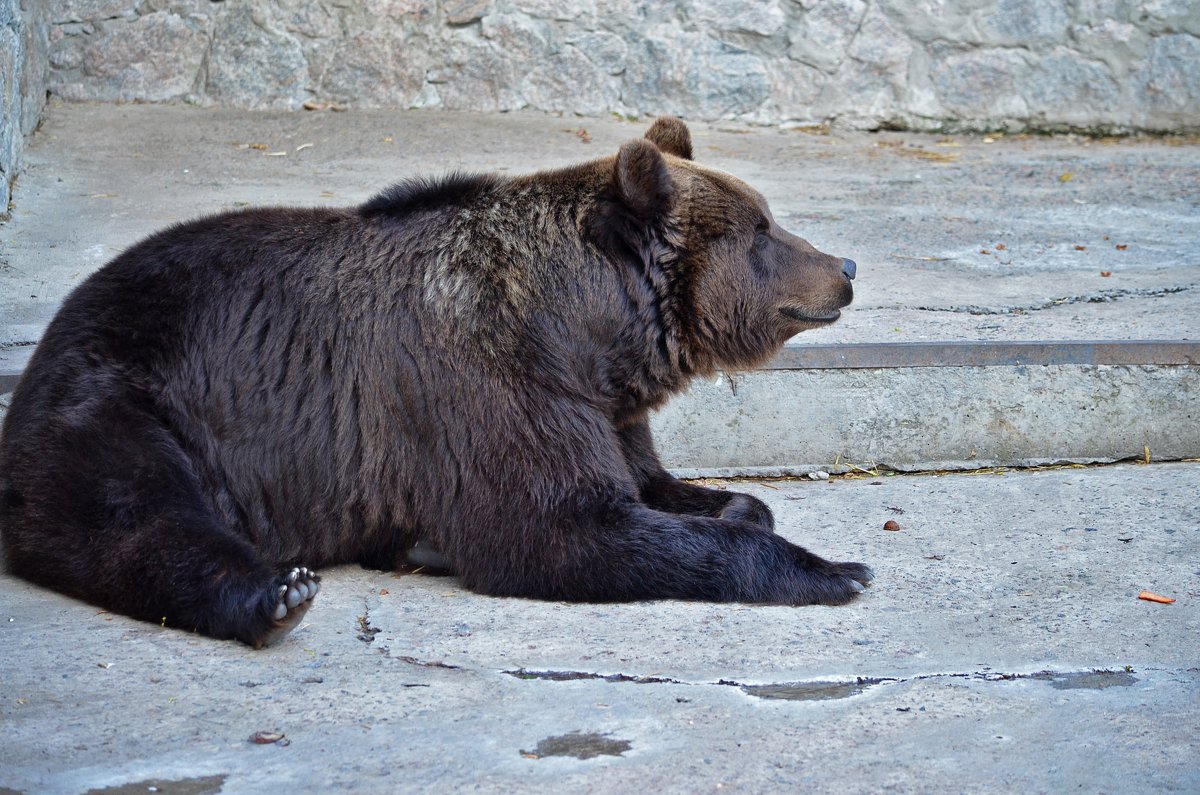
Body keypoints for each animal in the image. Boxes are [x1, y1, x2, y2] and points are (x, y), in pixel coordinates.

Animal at [0, 118, 868, 648]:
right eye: (763, 230)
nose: (846, 264)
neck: (585, 329)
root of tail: (51, 336)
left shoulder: (605, 403)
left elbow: (651, 483)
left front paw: (737, 505)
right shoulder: (487, 378)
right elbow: (555, 526)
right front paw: (833, 568)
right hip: (129, 393)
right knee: (137, 513)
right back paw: (275, 595)